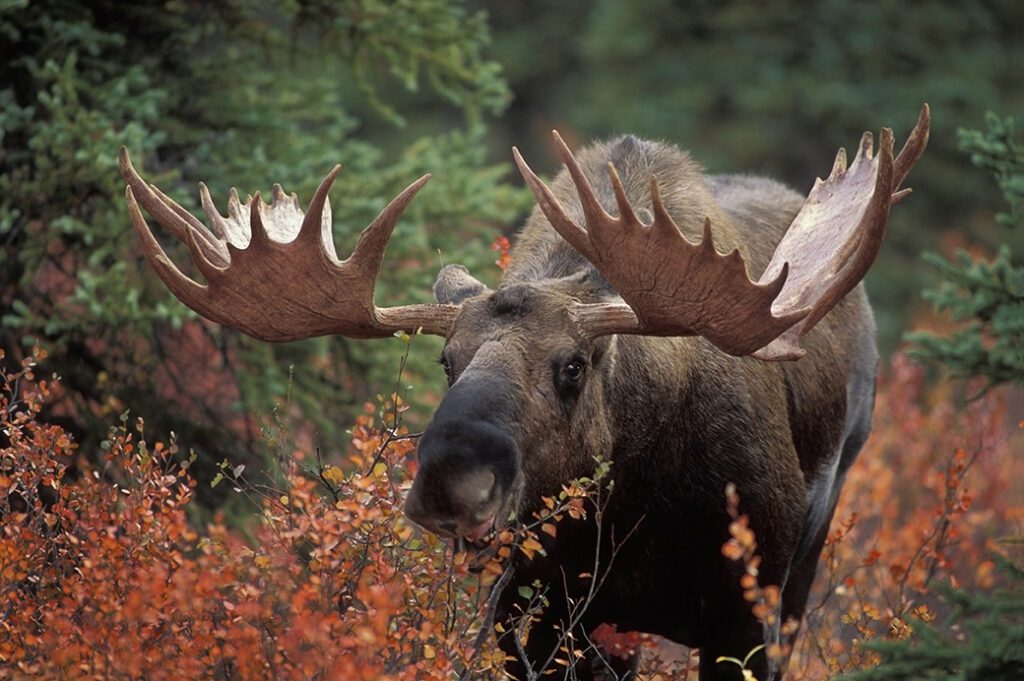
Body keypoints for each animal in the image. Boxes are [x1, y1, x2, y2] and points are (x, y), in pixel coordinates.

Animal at [120, 105, 929, 680]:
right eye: (446, 360)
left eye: (573, 365)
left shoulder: (745, 611)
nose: (451, 481)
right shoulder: (530, 613)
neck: (630, 507)